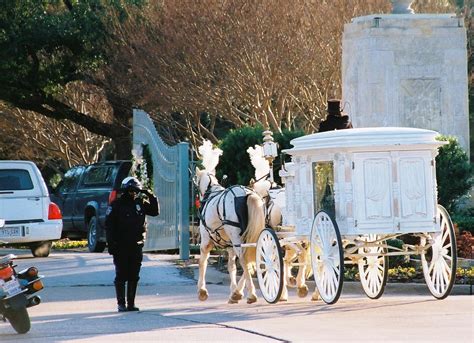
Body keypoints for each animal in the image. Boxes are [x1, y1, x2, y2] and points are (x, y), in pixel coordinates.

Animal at [193, 168, 266, 306]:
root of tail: (246, 193)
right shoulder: (230, 246)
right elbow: (231, 267)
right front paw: (234, 291)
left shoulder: (206, 242)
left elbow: (202, 262)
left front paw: (202, 291)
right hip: (253, 236)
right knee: (252, 260)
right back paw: (238, 293)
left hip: (237, 239)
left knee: (244, 260)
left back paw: (251, 294)